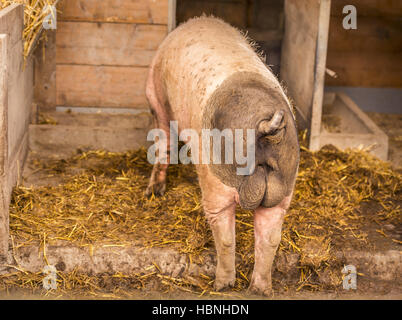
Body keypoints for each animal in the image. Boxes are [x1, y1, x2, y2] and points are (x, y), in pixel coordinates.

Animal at [144, 17, 298, 296]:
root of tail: (264, 127)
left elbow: (164, 145)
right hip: (285, 185)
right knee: (270, 238)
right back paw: (261, 290)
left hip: (214, 178)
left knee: (224, 233)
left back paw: (221, 284)